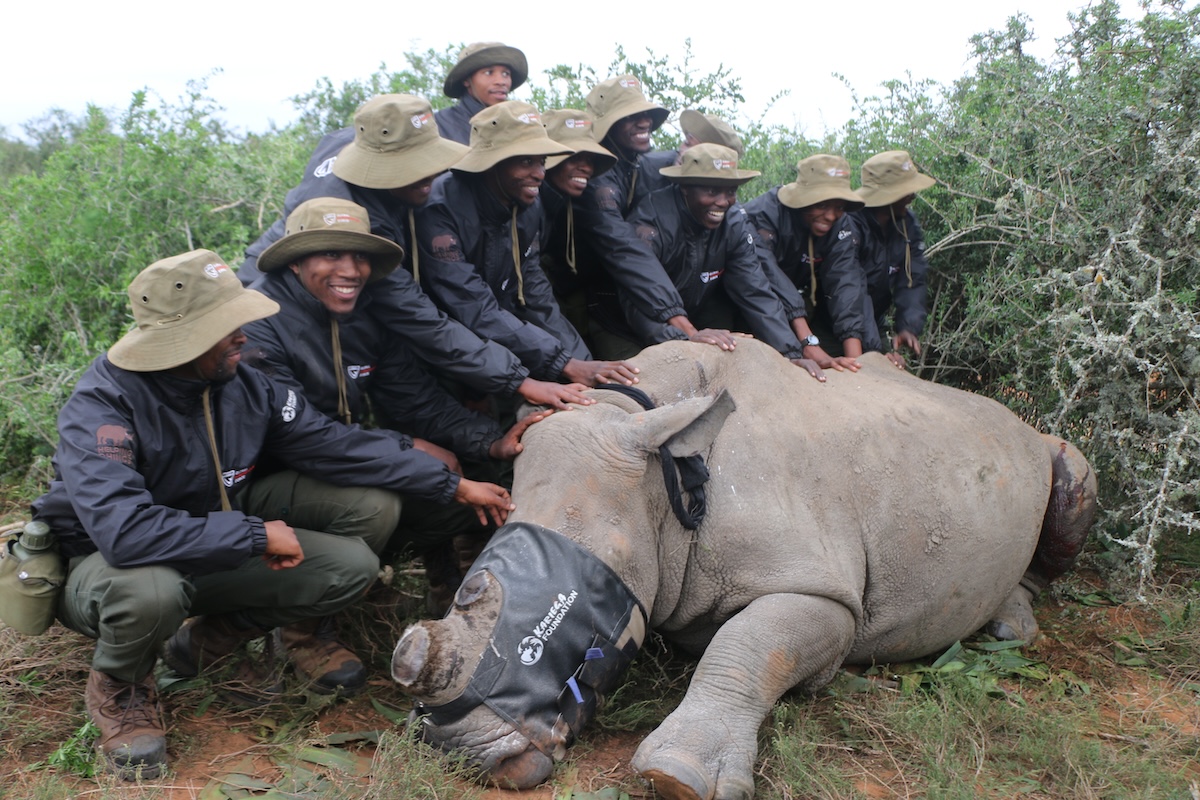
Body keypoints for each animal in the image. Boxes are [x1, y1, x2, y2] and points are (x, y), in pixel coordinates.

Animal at [393, 340, 1099, 800]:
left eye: (605, 574)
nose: (461, 753)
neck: (666, 471)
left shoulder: (827, 591)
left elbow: (751, 643)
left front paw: (677, 777)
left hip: (1038, 447)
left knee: (1073, 472)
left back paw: (1011, 626)